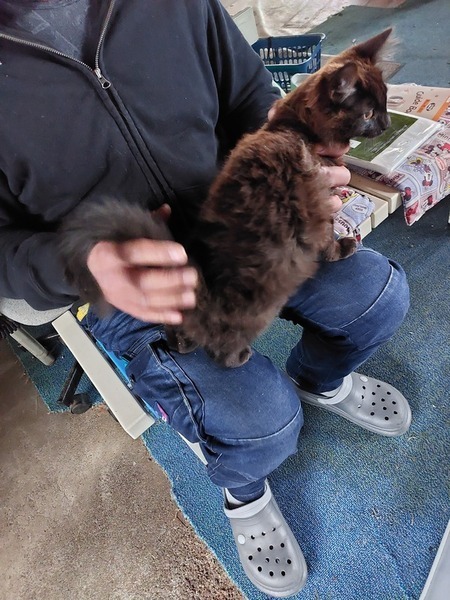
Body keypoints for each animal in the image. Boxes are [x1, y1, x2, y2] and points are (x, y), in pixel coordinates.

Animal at [59, 29, 393, 368]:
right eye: (368, 113)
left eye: (385, 101)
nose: (387, 123)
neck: (294, 128)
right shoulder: (318, 204)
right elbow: (326, 237)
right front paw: (342, 247)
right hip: (254, 313)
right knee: (220, 348)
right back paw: (237, 356)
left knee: (177, 326)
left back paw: (180, 343)